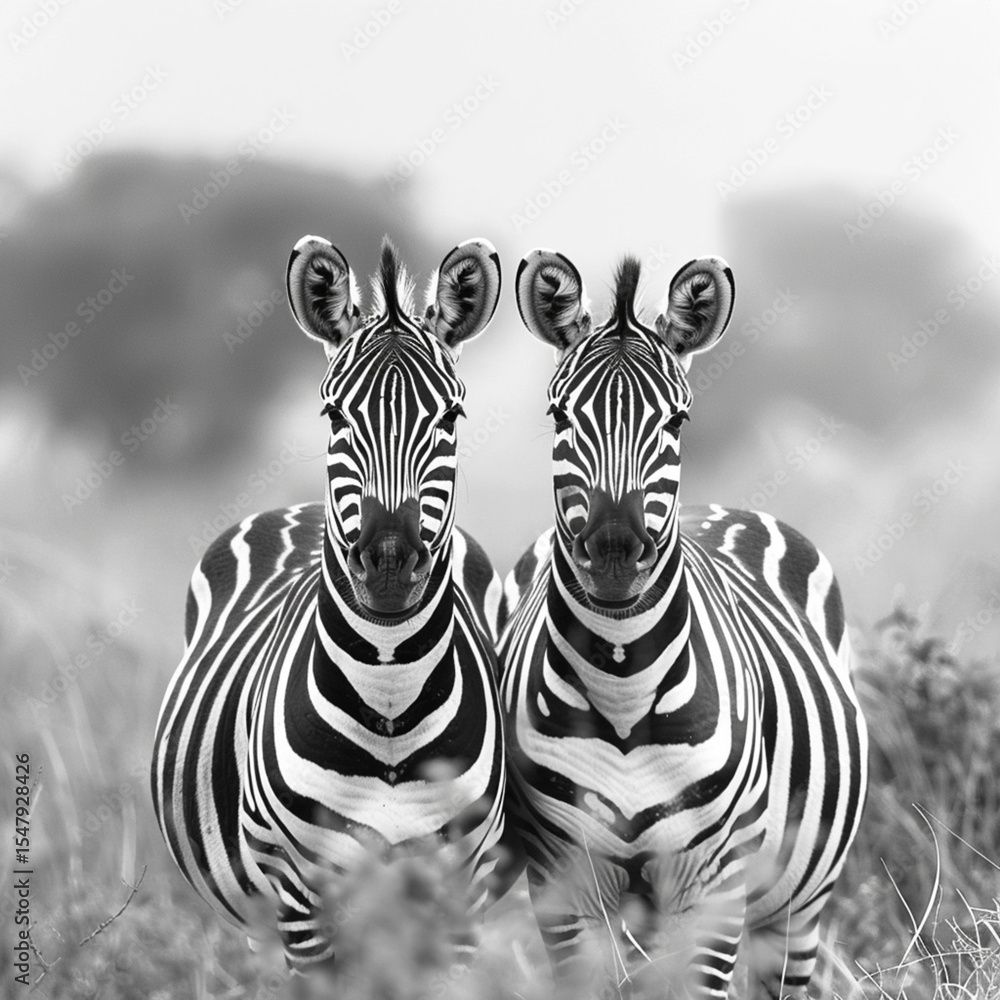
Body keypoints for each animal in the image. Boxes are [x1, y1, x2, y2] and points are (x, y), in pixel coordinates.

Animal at [151, 236, 512, 977]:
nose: (390, 566)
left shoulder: (459, 893)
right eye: (334, 415)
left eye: (452, 416)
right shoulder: (303, 898)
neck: (391, 698)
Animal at [499, 249, 868, 998]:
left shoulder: (714, 889)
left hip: (798, 905)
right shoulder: (563, 885)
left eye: (676, 422)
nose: (614, 551)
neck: (622, 689)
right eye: (559, 415)